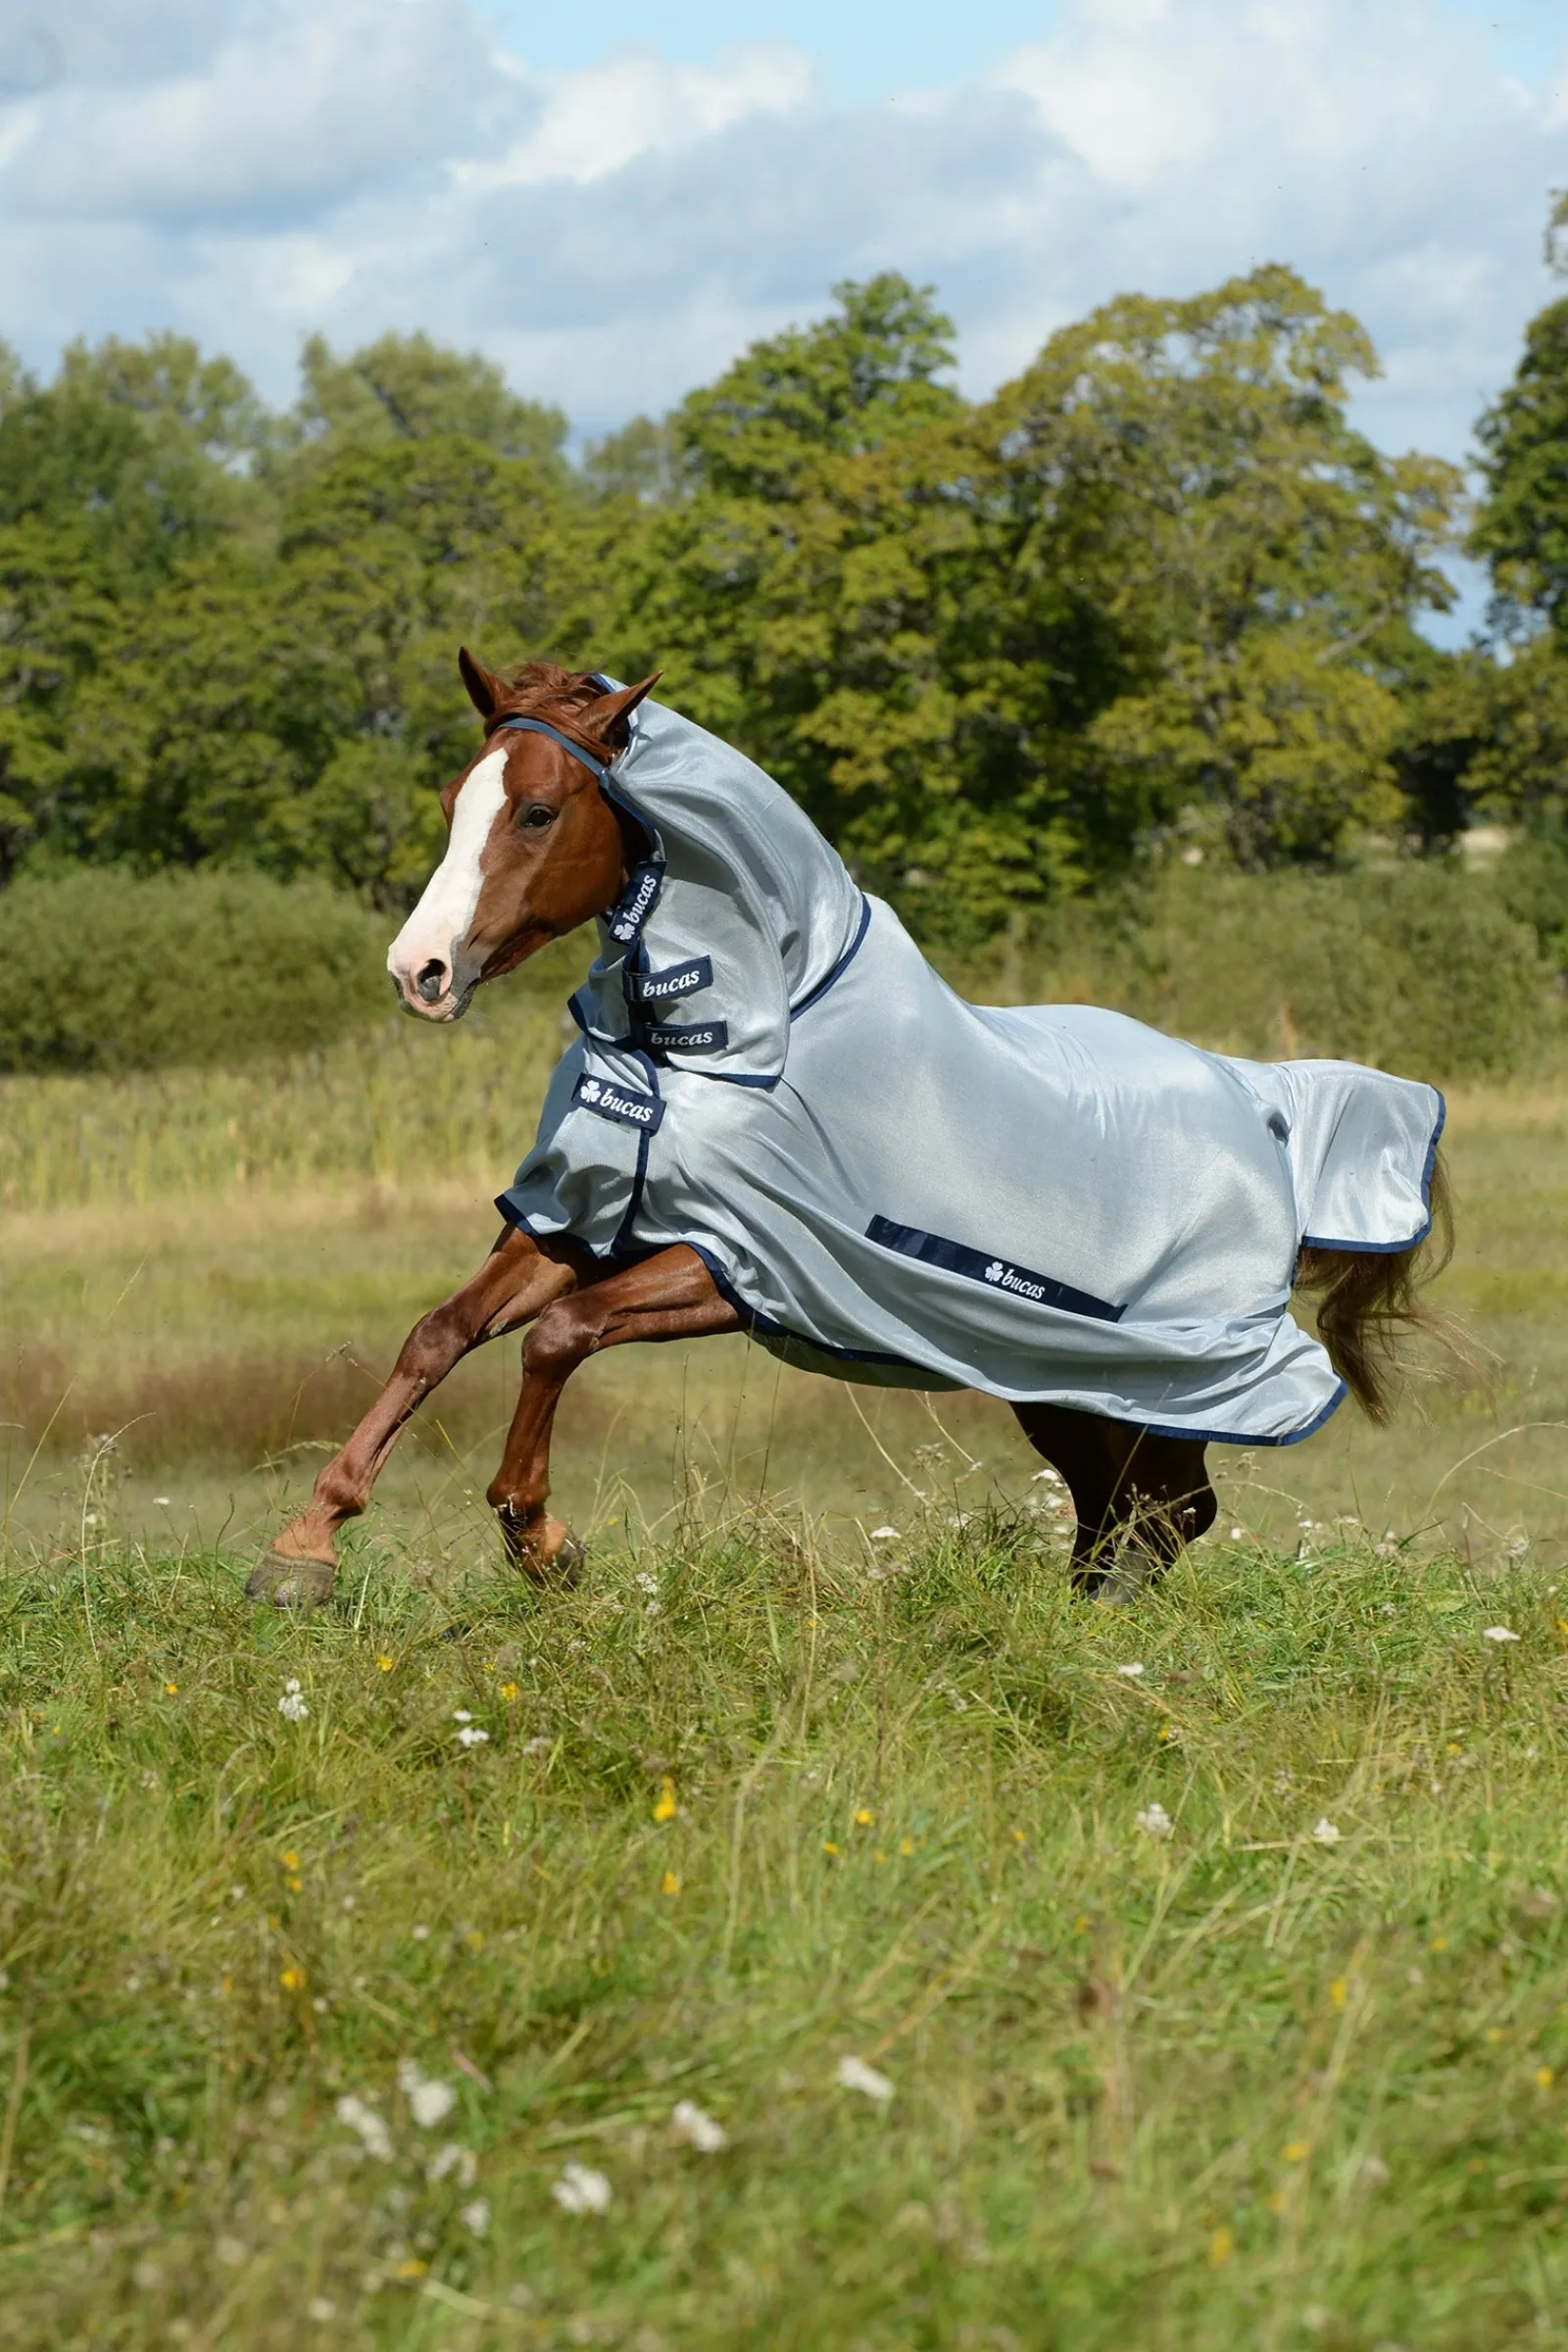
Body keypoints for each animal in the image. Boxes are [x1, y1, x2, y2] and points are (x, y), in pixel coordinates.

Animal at [248, 655, 1450, 1612]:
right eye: (456, 799)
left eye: (537, 812)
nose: (419, 971)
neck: (728, 1033)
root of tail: (1262, 1098)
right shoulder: (579, 1223)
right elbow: (440, 1334)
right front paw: (304, 1546)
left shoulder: (741, 1264)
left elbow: (557, 1339)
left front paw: (541, 1541)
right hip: (1063, 1381)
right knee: (1132, 1508)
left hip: (1152, 1379)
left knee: (1160, 1510)